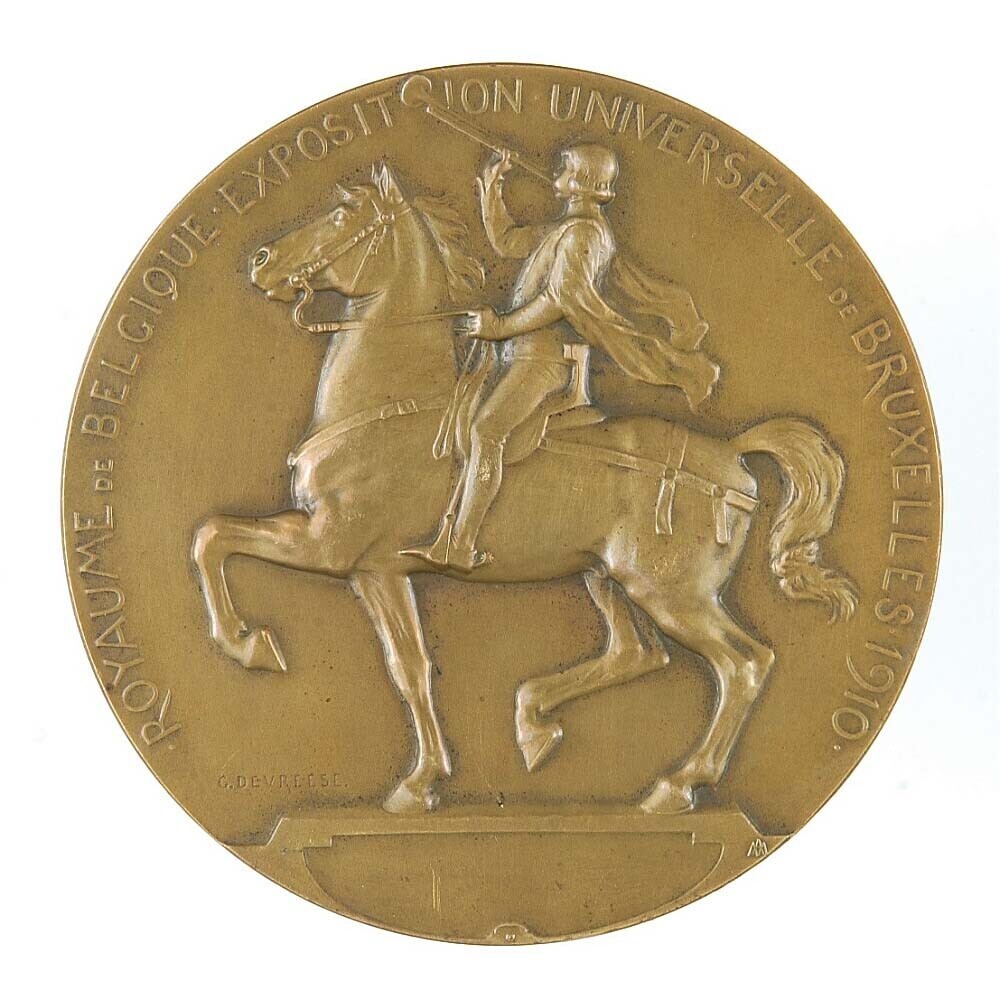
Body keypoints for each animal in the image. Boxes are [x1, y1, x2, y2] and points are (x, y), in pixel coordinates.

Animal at [191, 162, 858, 815]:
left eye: (340, 215)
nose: (261, 261)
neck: (389, 403)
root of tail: (734, 455)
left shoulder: (329, 546)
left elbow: (213, 536)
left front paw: (249, 644)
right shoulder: (378, 569)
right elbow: (410, 667)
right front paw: (422, 780)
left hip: (672, 592)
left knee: (744, 664)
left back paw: (676, 784)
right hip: (605, 576)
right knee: (638, 654)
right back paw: (536, 721)